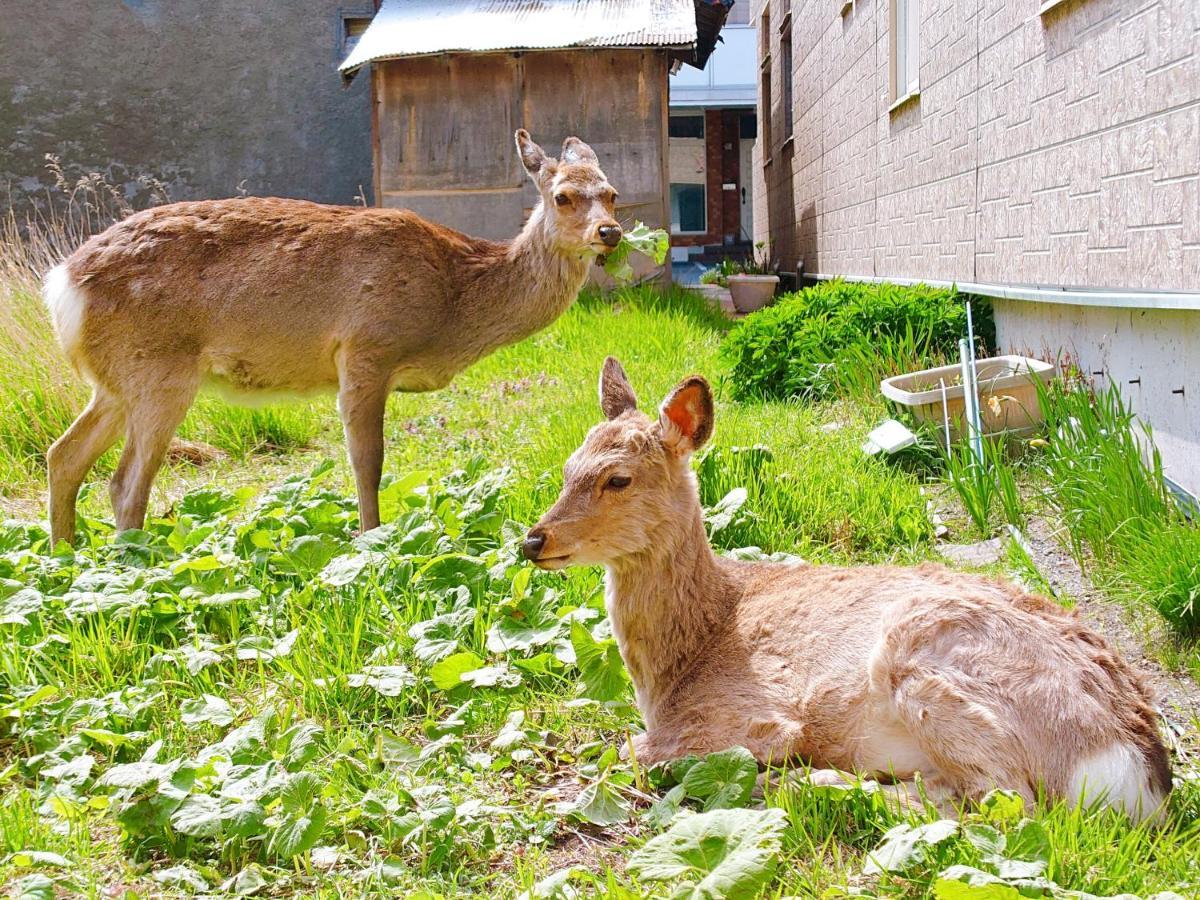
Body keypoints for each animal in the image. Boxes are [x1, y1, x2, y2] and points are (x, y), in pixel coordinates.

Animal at [42, 130, 624, 547]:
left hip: (117, 378)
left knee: (64, 455)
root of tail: (61, 285)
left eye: (611, 193)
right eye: (563, 196)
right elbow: (369, 462)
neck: (452, 299)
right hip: (160, 366)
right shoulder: (366, 347)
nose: (610, 232)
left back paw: (65, 557)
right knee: (124, 483)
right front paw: (371, 540)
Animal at [525, 360, 1171, 825]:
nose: (533, 540)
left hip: (924, 656)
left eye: (618, 479)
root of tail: (1134, 772)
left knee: (1003, 804)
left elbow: (623, 752)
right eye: (567, 467)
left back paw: (803, 784)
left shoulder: (746, 718)